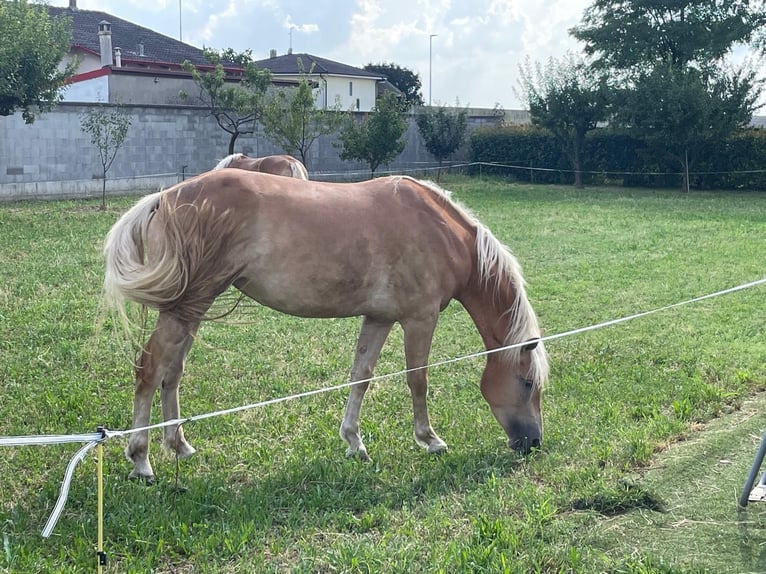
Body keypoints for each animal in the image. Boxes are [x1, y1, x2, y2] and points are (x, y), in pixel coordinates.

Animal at [103, 170, 552, 482]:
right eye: (528, 382)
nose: (532, 443)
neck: (442, 232)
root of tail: (165, 197)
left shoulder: (379, 318)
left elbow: (361, 376)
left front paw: (354, 442)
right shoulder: (419, 318)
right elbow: (418, 379)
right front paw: (430, 440)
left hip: (193, 307)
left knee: (172, 372)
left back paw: (179, 446)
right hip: (187, 306)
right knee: (149, 368)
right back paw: (141, 460)